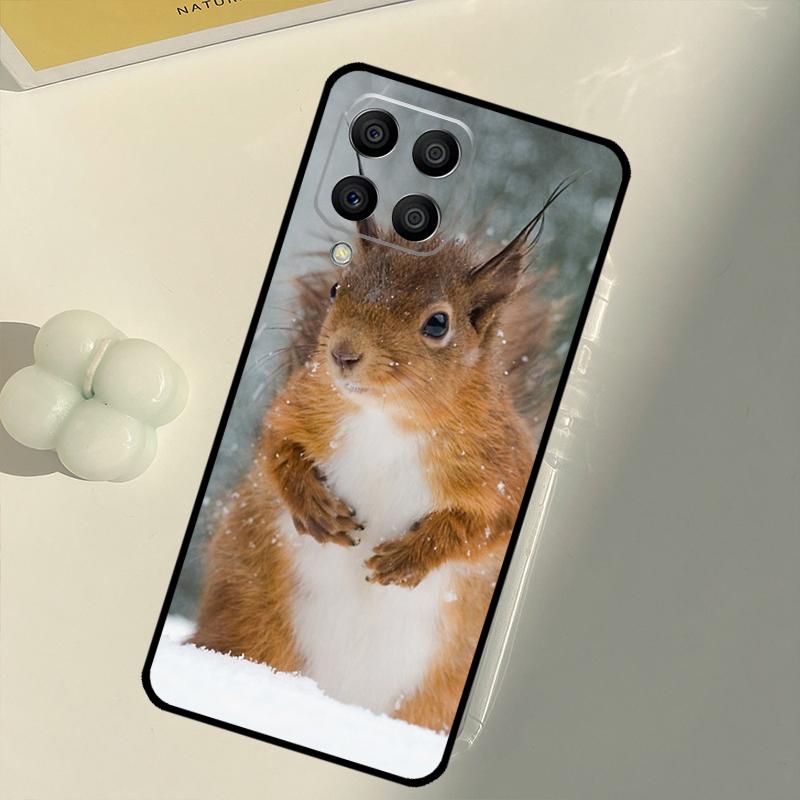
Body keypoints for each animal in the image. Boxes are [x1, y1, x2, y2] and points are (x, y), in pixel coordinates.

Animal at [190, 184, 570, 732]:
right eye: (336, 288)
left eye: (438, 323)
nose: (343, 354)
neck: (386, 419)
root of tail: (339, 702)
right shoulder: (299, 405)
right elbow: (277, 446)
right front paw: (314, 509)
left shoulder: (505, 467)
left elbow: (489, 524)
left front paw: (408, 558)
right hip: (248, 621)